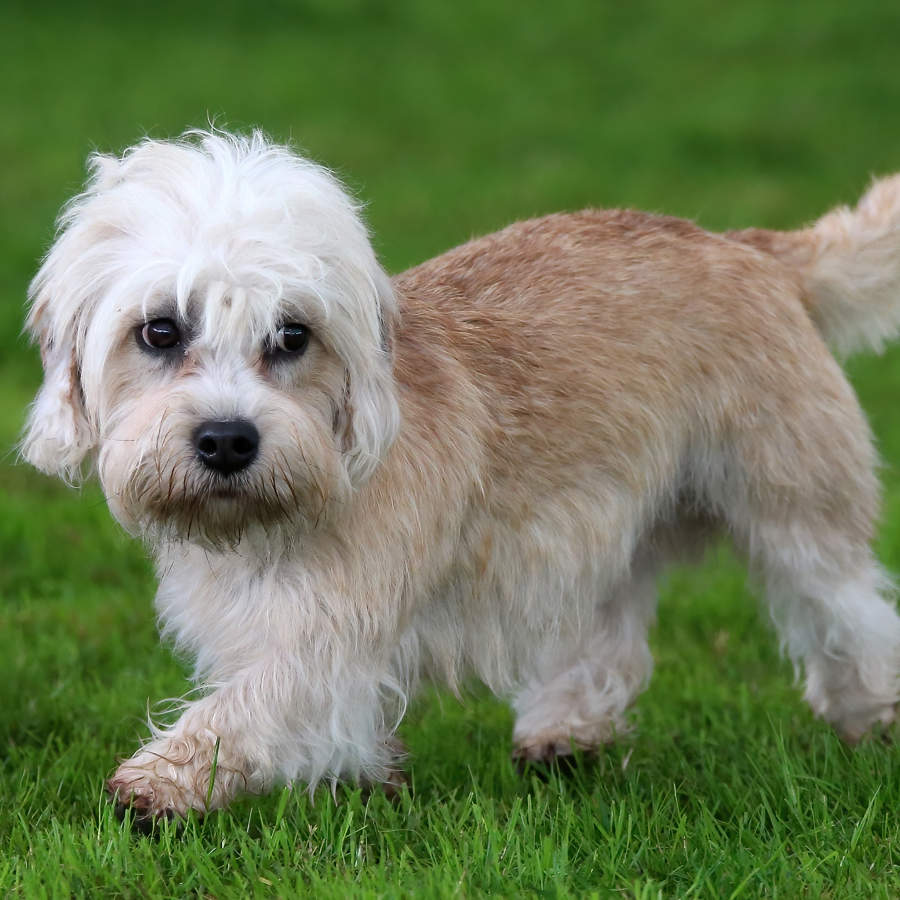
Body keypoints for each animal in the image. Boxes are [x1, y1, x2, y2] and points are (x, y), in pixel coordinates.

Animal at [19, 128, 900, 824]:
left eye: (293, 335)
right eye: (160, 330)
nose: (229, 440)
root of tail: (746, 245)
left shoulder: (326, 643)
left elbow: (250, 707)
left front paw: (159, 782)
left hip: (794, 506)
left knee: (850, 611)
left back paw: (873, 719)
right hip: (605, 525)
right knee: (610, 636)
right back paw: (565, 732)